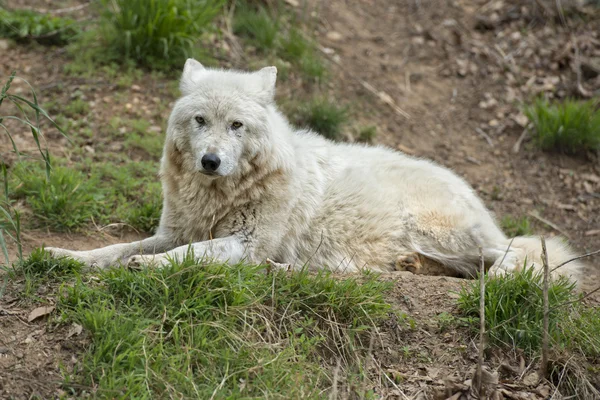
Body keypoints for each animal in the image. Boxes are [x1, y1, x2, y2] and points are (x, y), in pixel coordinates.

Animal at [47, 60, 580, 282]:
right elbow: (115, 248)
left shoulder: (247, 242)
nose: (210, 161)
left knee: (511, 259)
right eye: (201, 121)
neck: (220, 196)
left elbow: (193, 254)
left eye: (236, 125)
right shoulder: (172, 230)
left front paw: (150, 266)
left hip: (434, 229)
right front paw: (64, 257)